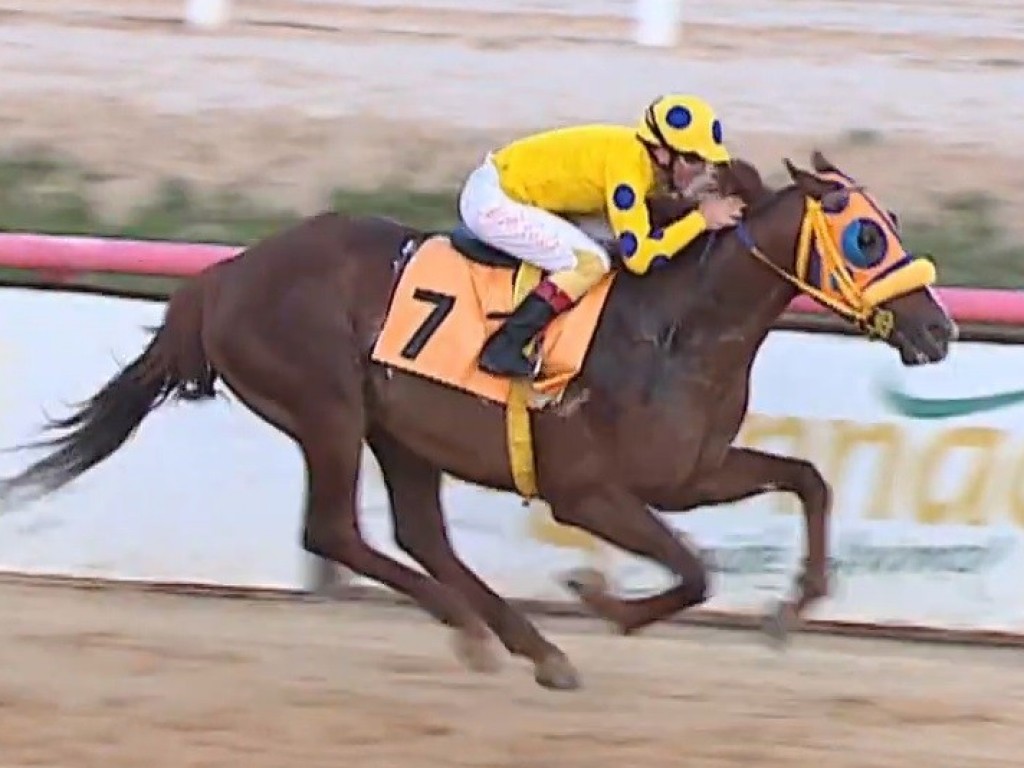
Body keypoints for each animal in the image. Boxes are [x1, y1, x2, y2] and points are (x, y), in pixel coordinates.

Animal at [2, 150, 958, 692]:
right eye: (866, 237)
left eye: (890, 223)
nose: (939, 330)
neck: (678, 327)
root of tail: (223, 276)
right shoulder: (588, 492)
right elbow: (694, 570)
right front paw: (601, 599)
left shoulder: (689, 473)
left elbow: (808, 481)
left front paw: (794, 606)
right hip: (326, 408)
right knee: (335, 531)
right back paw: (493, 635)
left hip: (399, 431)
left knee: (419, 534)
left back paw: (522, 643)